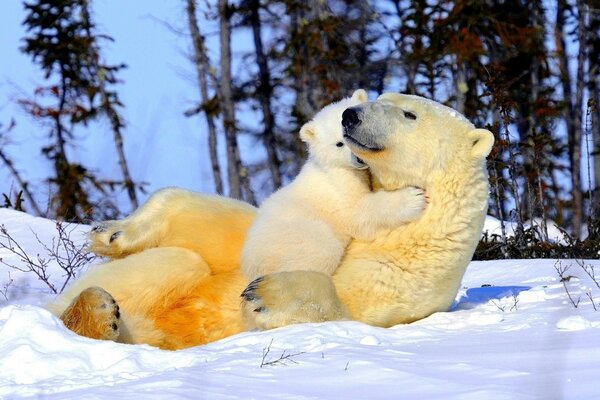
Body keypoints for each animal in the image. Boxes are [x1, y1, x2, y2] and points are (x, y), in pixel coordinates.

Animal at [243, 89, 426, 280]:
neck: (330, 165)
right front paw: (413, 199)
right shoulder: (339, 184)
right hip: (299, 237)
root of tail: (251, 265)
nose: (359, 159)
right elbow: (358, 211)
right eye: (339, 144)